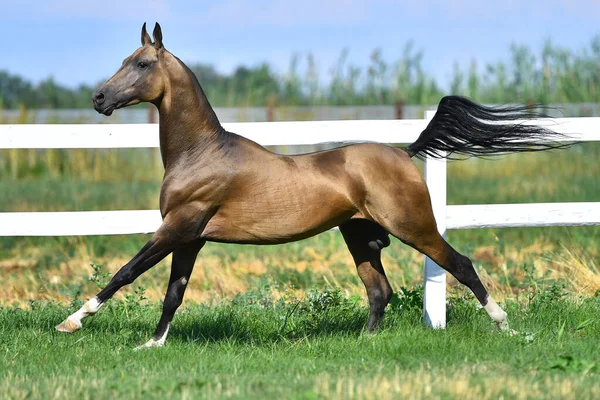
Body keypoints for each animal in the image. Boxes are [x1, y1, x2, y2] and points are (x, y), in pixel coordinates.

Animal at [56, 22, 568, 346]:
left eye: (142, 64)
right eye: (127, 60)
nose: (99, 98)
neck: (201, 154)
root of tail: (404, 152)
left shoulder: (177, 228)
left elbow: (125, 273)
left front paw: (72, 322)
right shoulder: (190, 238)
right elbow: (173, 294)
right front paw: (153, 345)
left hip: (413, 226)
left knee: (460, 265)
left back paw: (508, 327)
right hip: (360, 235)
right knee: (379, 291)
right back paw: (363, 343)